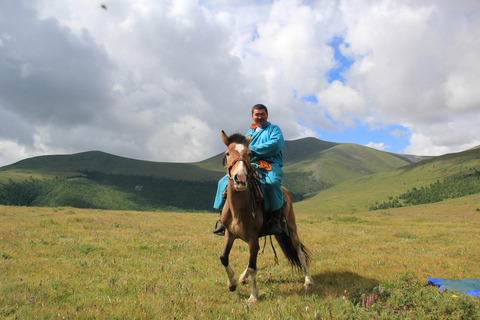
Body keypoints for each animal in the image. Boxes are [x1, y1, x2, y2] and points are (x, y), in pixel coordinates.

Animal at [218, 129, 316, 302]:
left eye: (249, 154)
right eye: (228, 153)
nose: (240, 179)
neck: (238, 209)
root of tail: (285, 191)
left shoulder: (252, 238)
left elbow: (253, 267)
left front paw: (253, 296)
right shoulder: (230, 234)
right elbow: (224, 257)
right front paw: (232, 283)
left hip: (291, 228)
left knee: (299, 252)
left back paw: (308, 280)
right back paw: (241, 278)